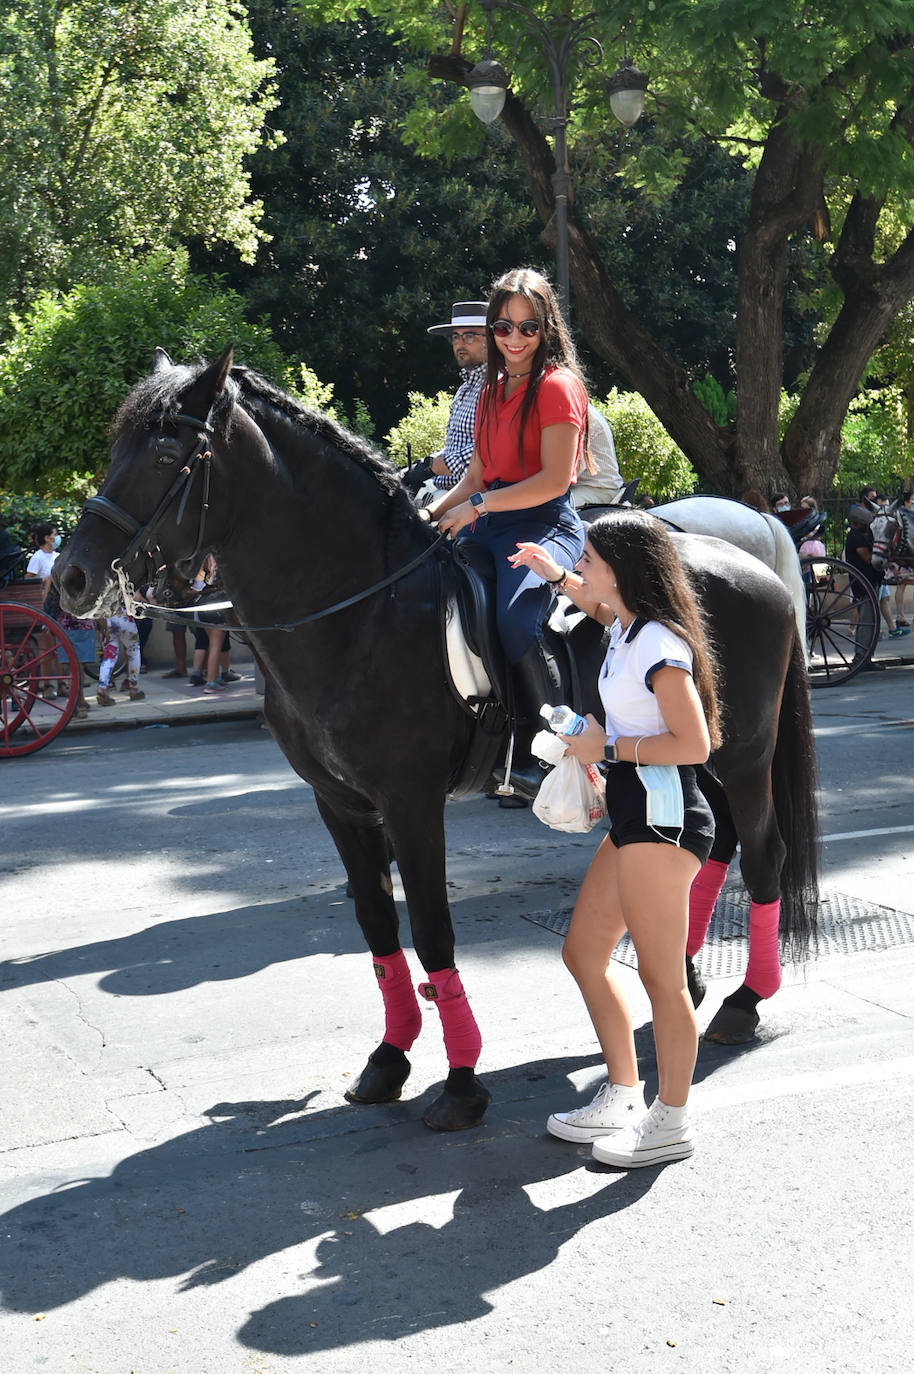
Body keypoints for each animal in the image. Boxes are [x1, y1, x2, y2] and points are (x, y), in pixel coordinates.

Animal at [56, 347, 819, 1130]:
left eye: (166, 452)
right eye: (115, 445)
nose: (71, 576)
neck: (357, 610)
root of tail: (756, 559)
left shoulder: (411, 800)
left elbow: (430, 929)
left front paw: (459, 1079)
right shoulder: (340, 803)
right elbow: (377, 926)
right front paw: (390, 1057)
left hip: (745, 755)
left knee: (763, 852)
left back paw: (744, 1001)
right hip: (697, 759)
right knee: (713, 846)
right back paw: (688, 980)